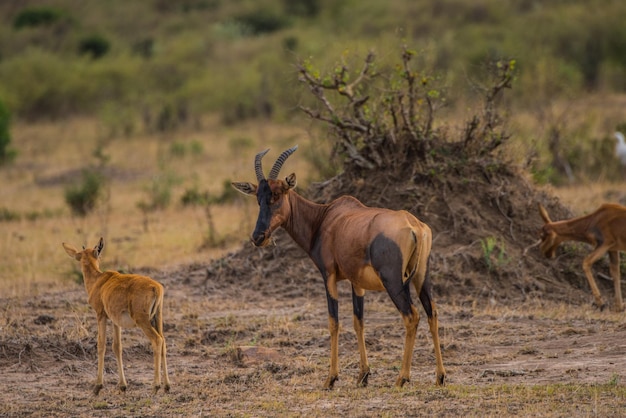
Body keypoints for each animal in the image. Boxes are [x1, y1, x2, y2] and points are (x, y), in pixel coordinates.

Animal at [61, 238, 171, 396]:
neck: (99, 281)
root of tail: (155, 287)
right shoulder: (115, 321)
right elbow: (117, 347)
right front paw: (122, 386)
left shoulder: (100, 316)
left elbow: (101, 345)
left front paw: (97, 386)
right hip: (157, 319)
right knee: (164, 342)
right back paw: (167, 386)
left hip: (143, 322)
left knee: (157, 340)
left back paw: (155, 386)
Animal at [230, 147, 444, 388]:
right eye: (258, 198)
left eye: (277, 194)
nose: (258, 237)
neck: (325, 218)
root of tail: (414, 226)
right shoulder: (356, 282)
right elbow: (358, 322)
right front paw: (363, 375)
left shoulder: (329, 275)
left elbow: (334, 322)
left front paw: (330, 379)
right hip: (421, 277)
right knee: (432, 313)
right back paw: (440, 376)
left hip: (393, 281)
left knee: (411, 316)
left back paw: (402, 378)